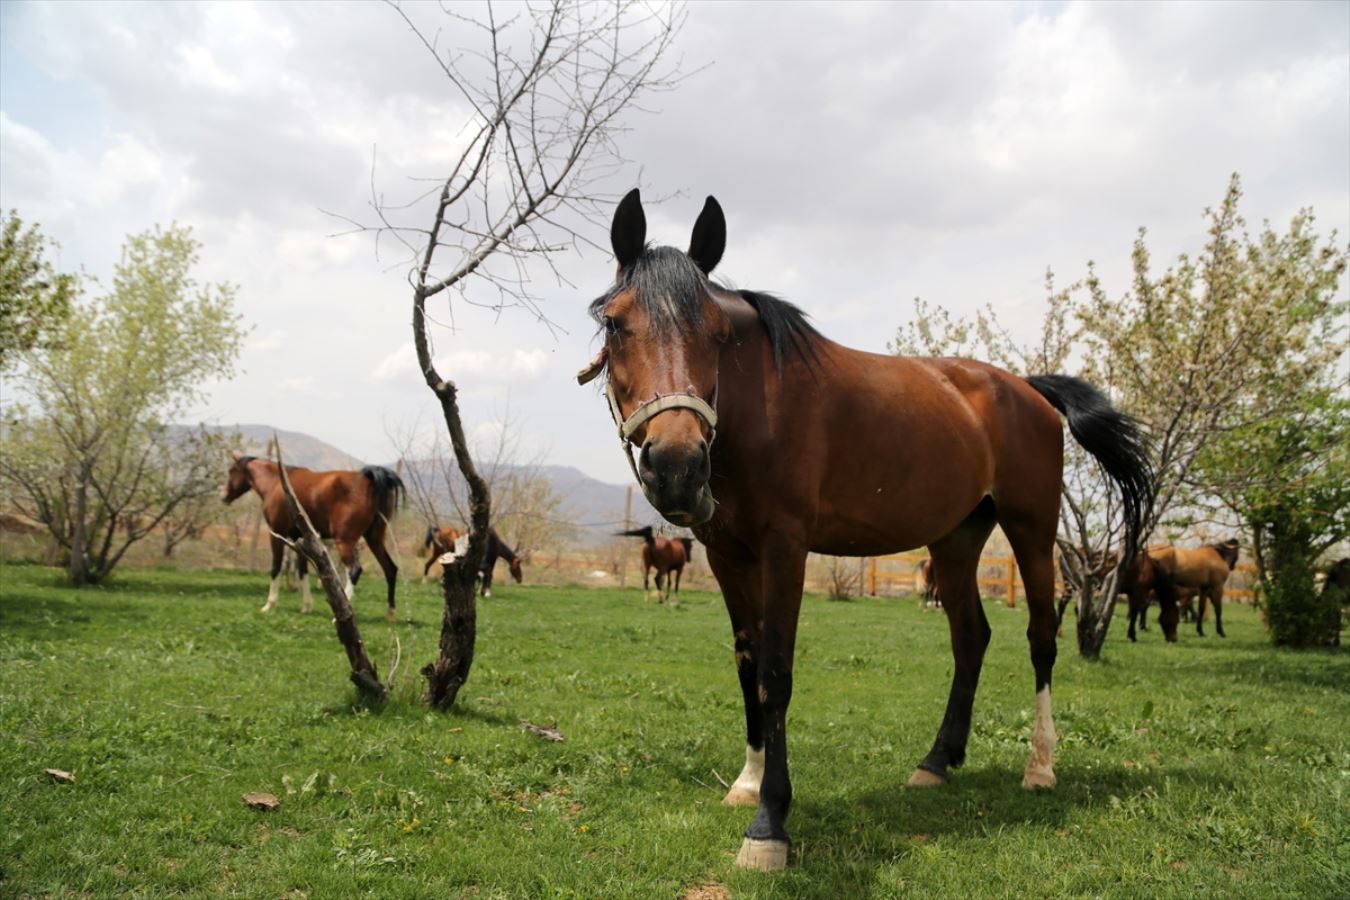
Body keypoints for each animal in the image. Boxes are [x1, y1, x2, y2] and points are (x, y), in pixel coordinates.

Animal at [218, 453, 399, 623]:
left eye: (232, 471)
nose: (224, 496)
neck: (275, 483)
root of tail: (369, 480)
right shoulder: (300, 539)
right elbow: (302, 571)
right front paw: (306, 606)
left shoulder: (277, 534)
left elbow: (276, 567)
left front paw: (269, 604)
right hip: (374, 539)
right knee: (390, 569)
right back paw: (390, 614)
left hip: (345, 542)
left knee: (355, 570)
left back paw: (342, 614)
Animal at [575, 191, 1155, 874]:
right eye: (617, 324)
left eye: (718, 333)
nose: (676, 466)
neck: (759, 410)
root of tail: (1027, 388)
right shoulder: (726, 555)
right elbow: (747, 664)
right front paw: (747, 780)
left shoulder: (785, 549)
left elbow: (776, 673)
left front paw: (769, 823)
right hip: (956, 538)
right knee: (971, 638)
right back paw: (937, 762)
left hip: (1031, 529)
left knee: (1041, 637)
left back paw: (1039, 767)